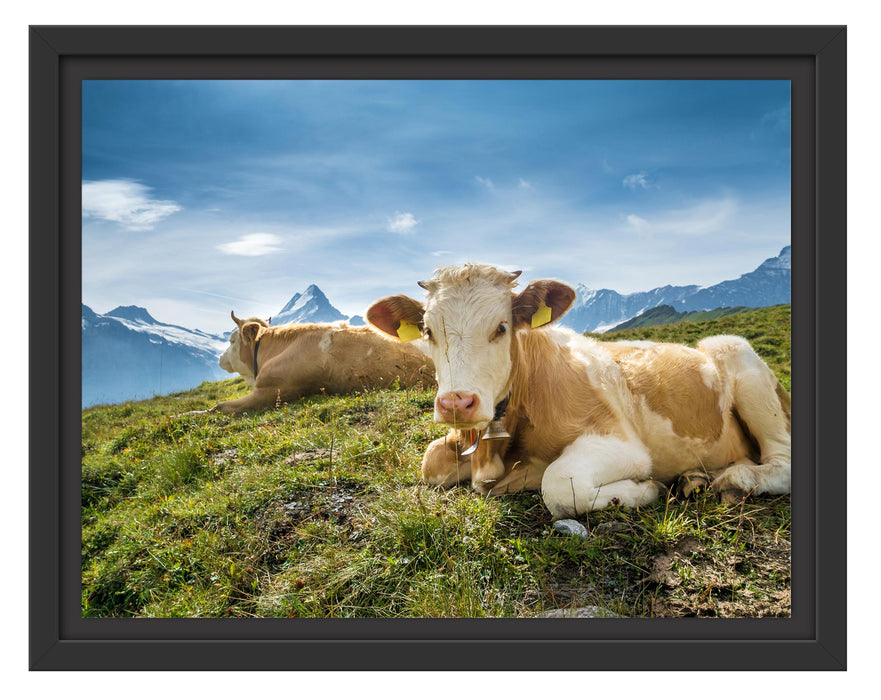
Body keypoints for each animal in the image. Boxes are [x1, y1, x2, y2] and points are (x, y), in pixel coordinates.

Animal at [366, 263, 791, 519]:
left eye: (501, 327)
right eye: (427, 330)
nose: (457, 402)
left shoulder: (621, 443)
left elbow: (558, 484)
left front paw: (645, 489)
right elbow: (431, 462)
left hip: (735, 351)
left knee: (781, 462)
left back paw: (735, 480)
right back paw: (694, 480)